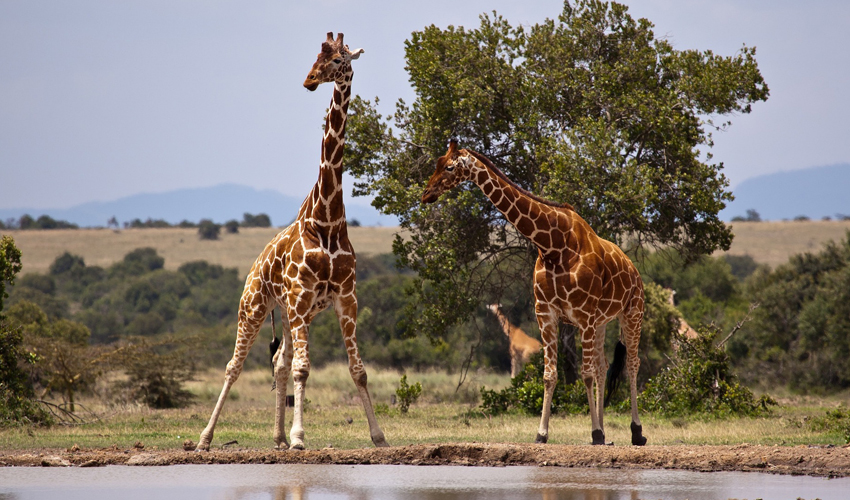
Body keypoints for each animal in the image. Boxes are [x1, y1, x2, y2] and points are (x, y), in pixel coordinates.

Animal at [195, 32, 388, 454]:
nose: (309, 80)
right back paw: (204, 438)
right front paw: (301, 437)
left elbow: (358, 370)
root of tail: (254, 266)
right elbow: (303, 369)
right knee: (236, 366)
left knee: (279, 362)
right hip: (255, 306)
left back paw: (278, 437)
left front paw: (379, 436)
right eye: (317, 56)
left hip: (290, 313)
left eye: (339, 59)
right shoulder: (301, 297)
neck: (327, 219)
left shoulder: (345, 298)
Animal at [420, 141, 644, 446]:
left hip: (632, 312)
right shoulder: (546, 312)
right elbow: (550, 375)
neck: (553, 245)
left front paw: (595, 434)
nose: (426, 194)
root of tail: (634, 269)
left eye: (450, 167)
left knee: (632, 363)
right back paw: (607, 432)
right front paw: (543, 434)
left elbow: (584, 374)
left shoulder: (583, 313)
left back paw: (636, 432)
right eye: (436, 164)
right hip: (601, 322)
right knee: (603, 365)